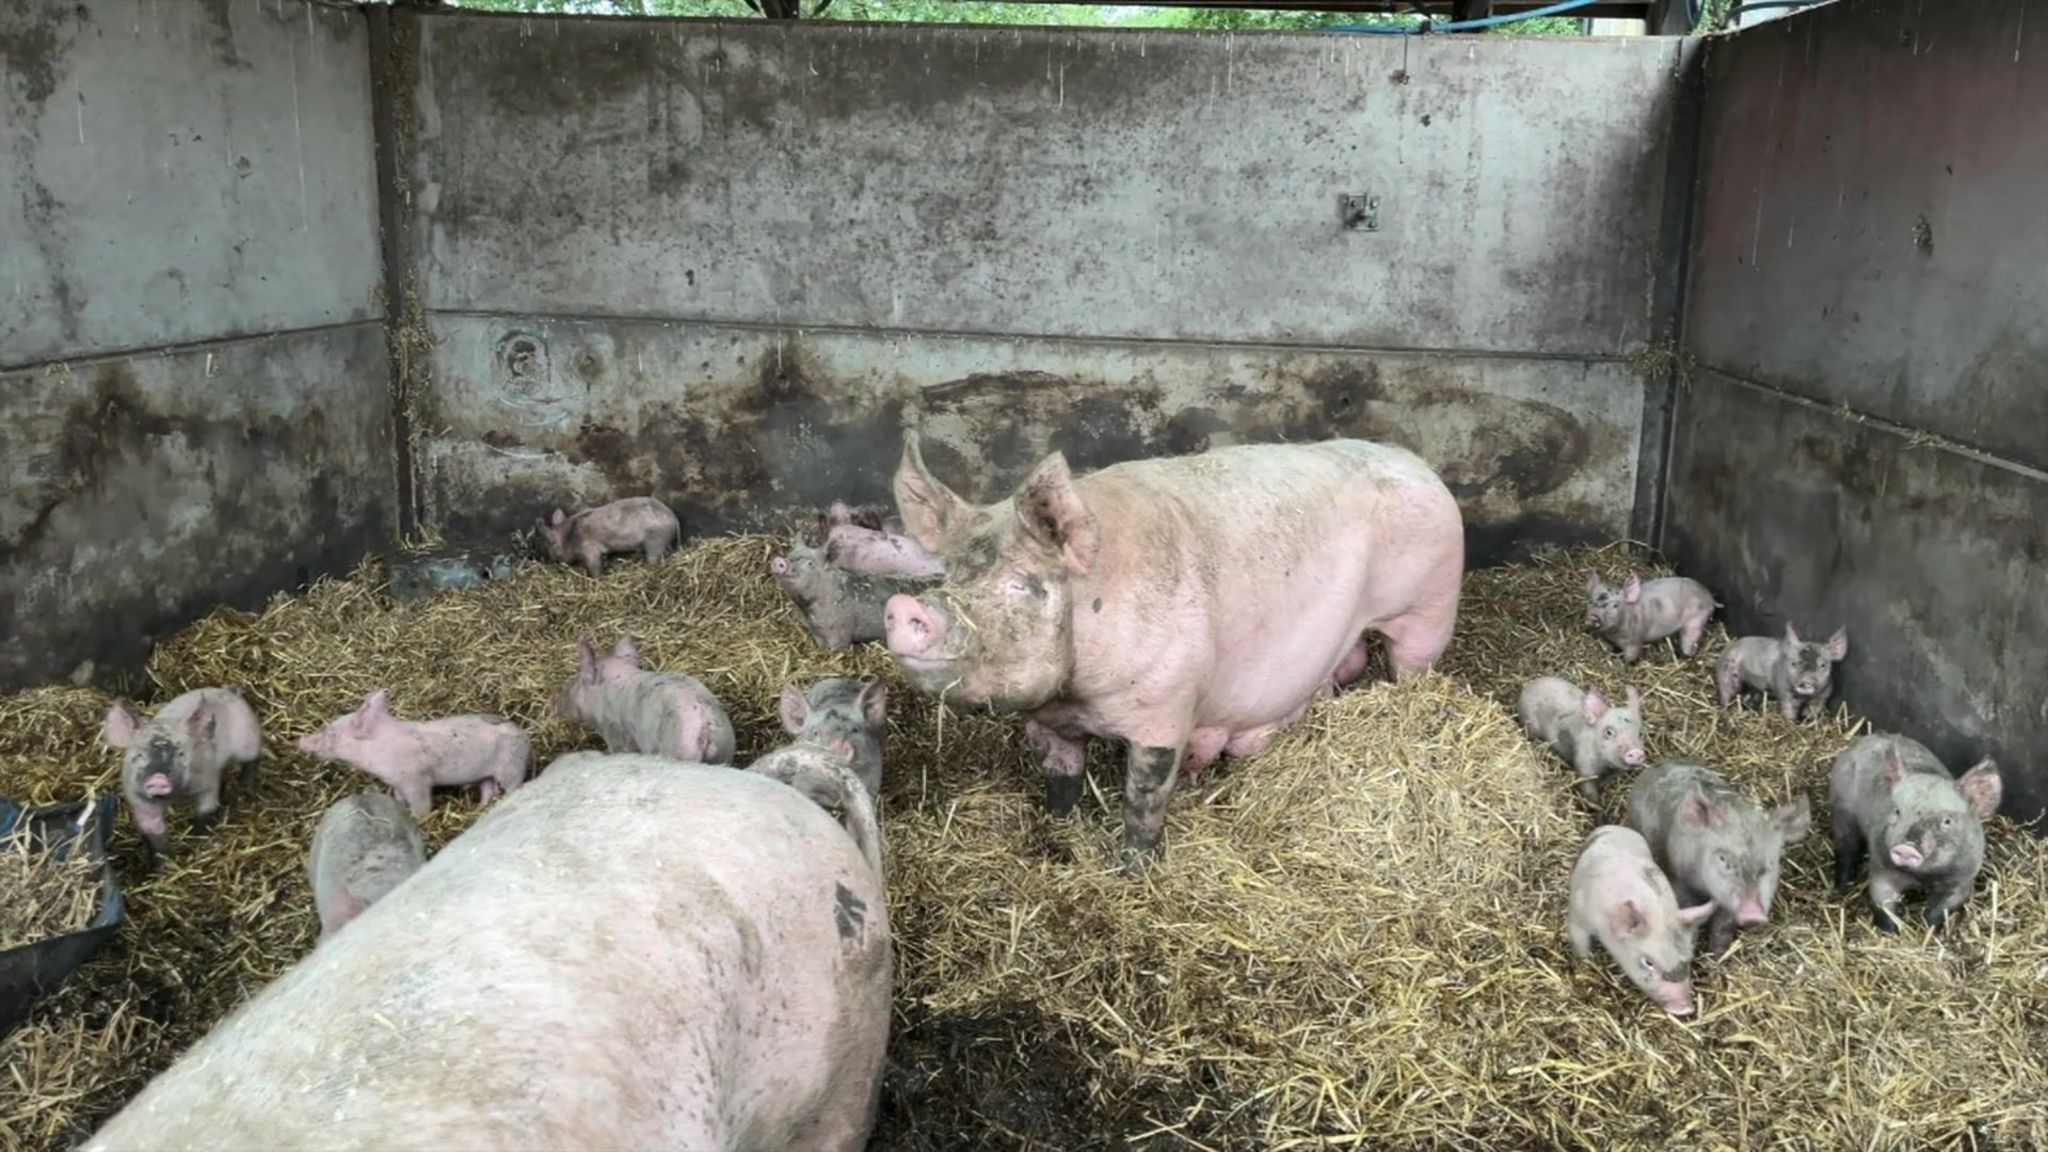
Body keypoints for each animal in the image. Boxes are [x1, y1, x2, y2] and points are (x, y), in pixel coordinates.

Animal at [888, 430, 1466, 869]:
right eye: (951, 575)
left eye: (1021, 584)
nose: (904, 607)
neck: (1080, 695)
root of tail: (1421, 466)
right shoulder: (1049, 720)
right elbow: (1061, 778)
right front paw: (1060, 829)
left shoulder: (1165, 709)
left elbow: (1144, 800)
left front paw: (1135, 870)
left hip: (1428, 609)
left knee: (1409, 666)